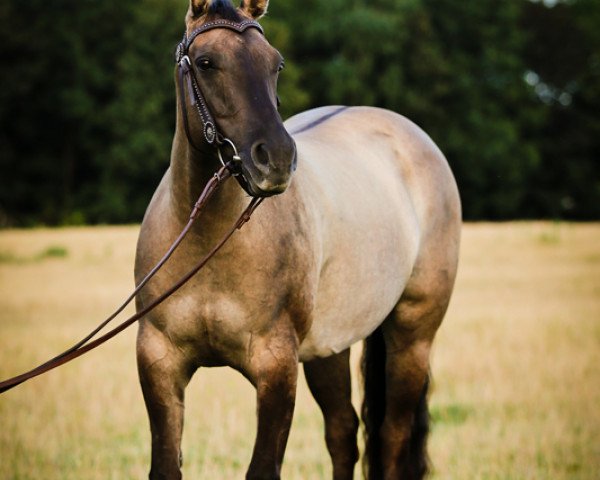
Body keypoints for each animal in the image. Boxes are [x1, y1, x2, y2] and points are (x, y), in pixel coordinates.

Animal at [135, 0, 460, 480]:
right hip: (329, 347)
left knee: (392, 437)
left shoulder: (276, 366)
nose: (276, 158)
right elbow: (164, 465)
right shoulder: (159, 362)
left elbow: (263, 468)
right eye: (206, 62)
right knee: (343, 432)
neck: (208, 241)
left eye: (276, 64)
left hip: (412, 336)